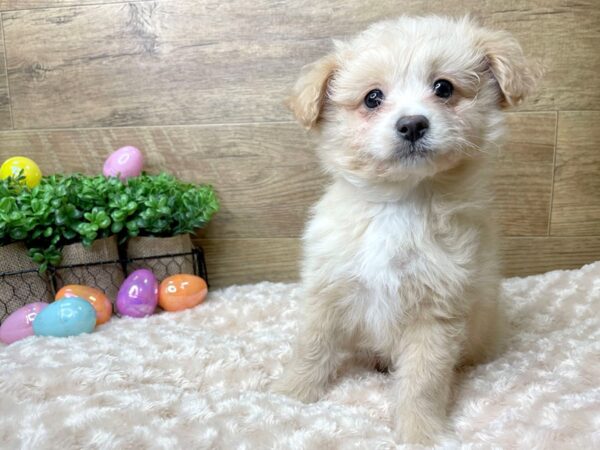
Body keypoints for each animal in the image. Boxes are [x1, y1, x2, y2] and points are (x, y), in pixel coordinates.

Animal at [272, 15, 540, 444]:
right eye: (372, 98)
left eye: (443, 88)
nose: (413, 124)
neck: (400, 204)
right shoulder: (327, 290)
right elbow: (311, 347)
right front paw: (290, 394)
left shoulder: (436, 312)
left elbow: (422, 380)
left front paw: (420, 432)